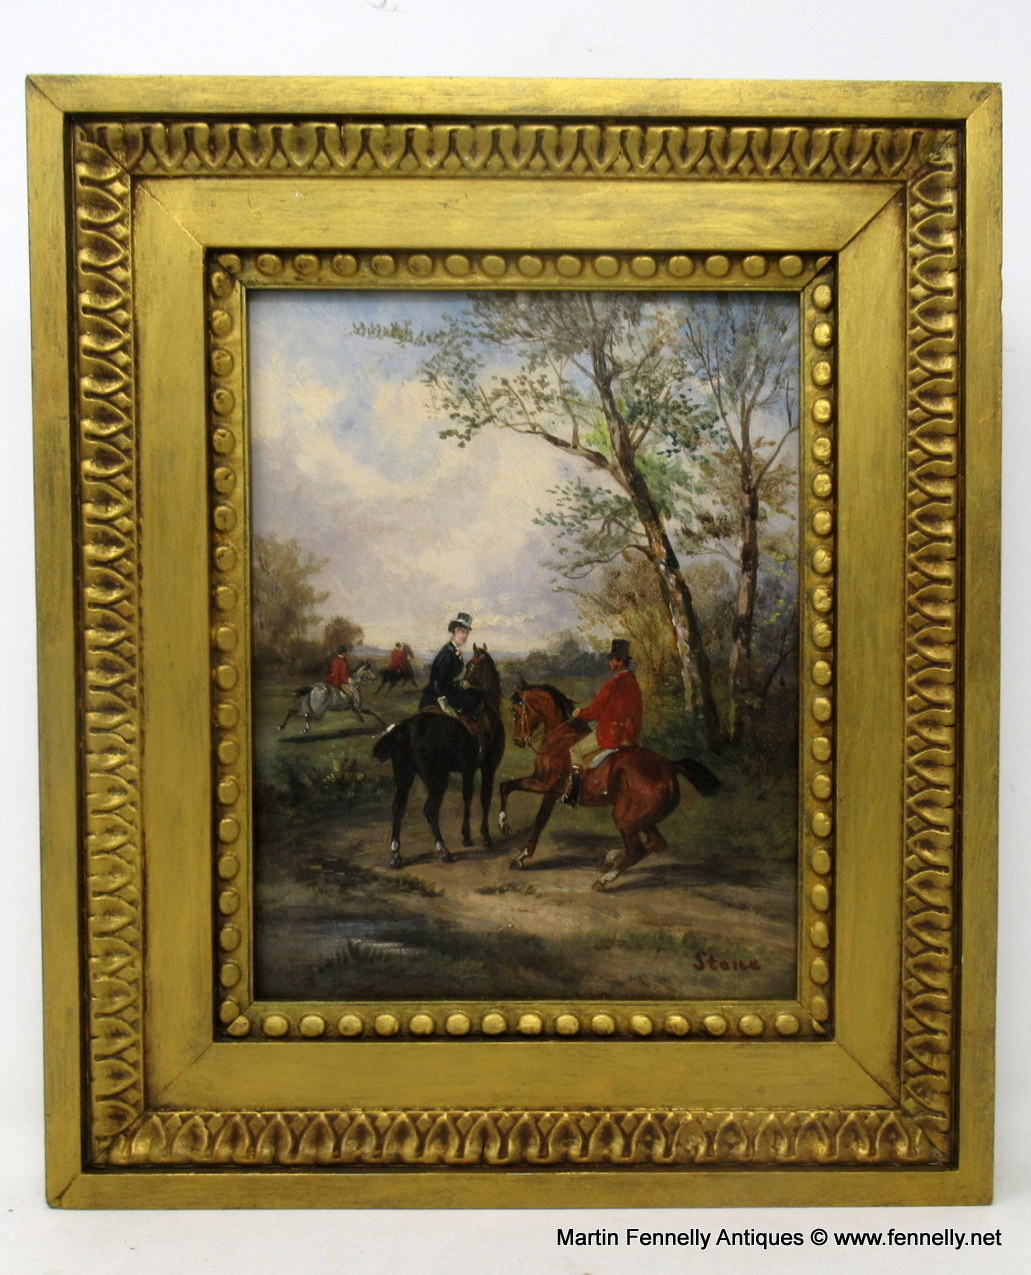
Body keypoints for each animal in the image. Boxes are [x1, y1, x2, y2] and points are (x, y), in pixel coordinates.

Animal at [372, 644, 505, 869]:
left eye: (470, 665)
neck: (487, 707)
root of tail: (409, 725)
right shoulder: (488, 766)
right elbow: (484, 798)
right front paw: (486, 837)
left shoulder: (469, 769)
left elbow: (467, 797)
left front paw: (466, 836)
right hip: (437, 779)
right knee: (430, 810)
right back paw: (444, 850)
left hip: (404, 776)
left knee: (398, 807)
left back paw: (396, 855)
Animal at [499, 678, 721, 890]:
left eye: (516, 711)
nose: (518, 740)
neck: (559, 738)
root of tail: (670, 766)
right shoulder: (549, 790)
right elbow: (514, 793)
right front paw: (512, 837)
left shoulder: (544, 784)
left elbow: (530, 810)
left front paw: (515, 845)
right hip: (642, 818)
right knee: (656, 843)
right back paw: (610, 859)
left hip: (625, 817)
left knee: (637, 850)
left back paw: (605, 879)